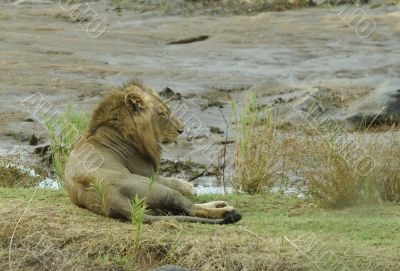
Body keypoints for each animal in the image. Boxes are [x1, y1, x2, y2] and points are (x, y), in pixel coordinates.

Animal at [64, 81, 242, 225]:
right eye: (162, 114)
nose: (181, 130)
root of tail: (108, 195)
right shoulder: (149, 174)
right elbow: (172, 180)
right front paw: (190, 186)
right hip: (152, 186)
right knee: (191, 208)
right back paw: (223, 209)